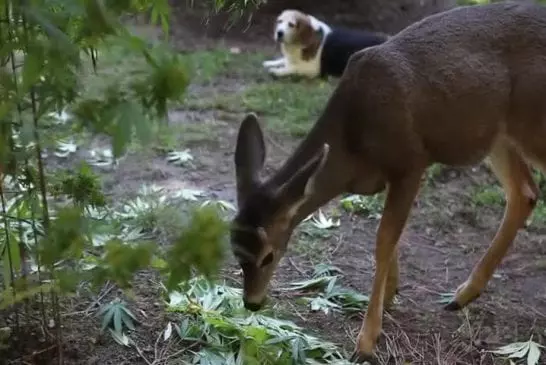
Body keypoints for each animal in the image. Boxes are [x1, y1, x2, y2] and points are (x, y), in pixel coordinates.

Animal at [227, 1, 544, 362]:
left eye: (268, 256)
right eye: (234, 249)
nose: (252, 302)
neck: (353, 147)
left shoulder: (410, 162)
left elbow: (382, 241)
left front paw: (366, 340)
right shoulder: (385, 178)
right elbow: (388, 239)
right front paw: (390, 295)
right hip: (497, 133)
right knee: (524, 192)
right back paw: (463, 294)